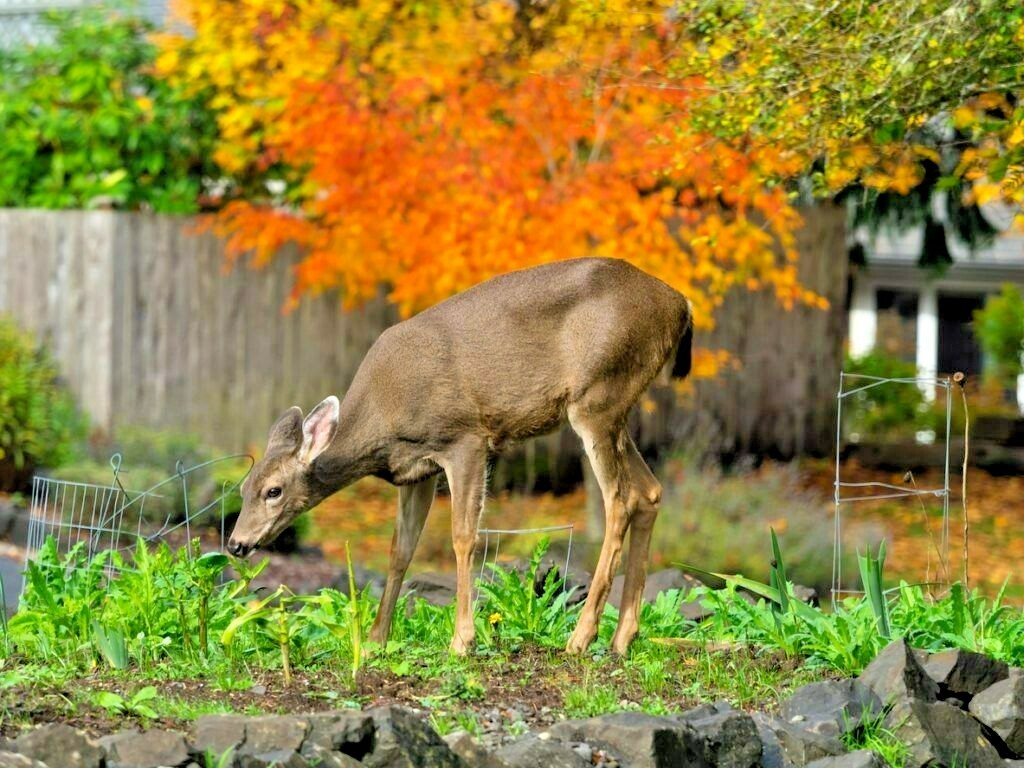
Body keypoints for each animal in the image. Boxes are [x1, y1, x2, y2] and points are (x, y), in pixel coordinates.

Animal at [227, 257, 693, 655]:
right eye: (242, 487)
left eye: (273, 490)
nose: (235, 543)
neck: (383, 418)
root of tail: (679, 304)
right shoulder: (416, 470)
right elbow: (400, 550)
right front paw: (376, 640)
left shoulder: (465, 438)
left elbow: (464, 537)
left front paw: (462, 640)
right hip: (615, 407)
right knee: (650, 491)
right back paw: (622, 638)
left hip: (598, 395)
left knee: (620, 498)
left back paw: (580, 638)